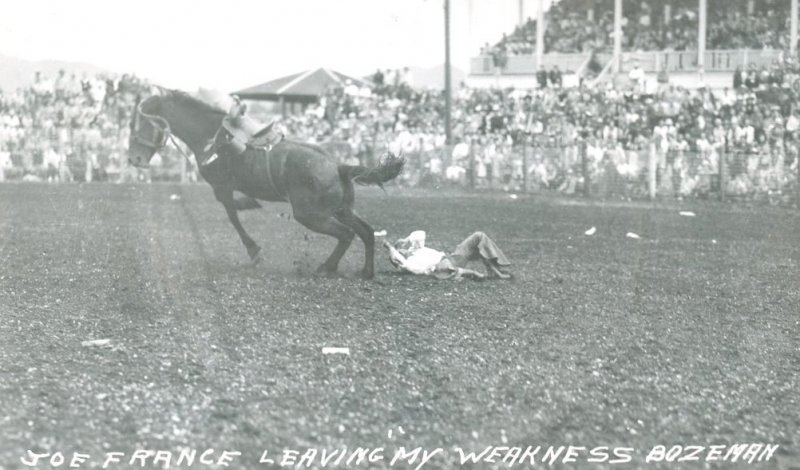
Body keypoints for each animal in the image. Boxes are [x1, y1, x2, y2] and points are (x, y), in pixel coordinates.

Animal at [132, 90, 406, 278]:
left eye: (143, 123)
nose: (134, 159)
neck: (212, 136)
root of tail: (338, 166)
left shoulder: (221, 187)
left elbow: (233, 215)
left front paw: (253, 250)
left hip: (311, 215)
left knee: (347, 234)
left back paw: (325, 267)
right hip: (342, 209)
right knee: (366, 232)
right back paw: (366, 272)